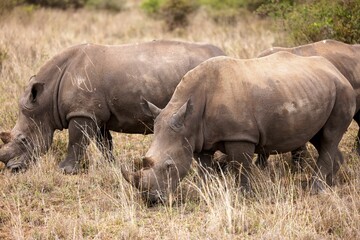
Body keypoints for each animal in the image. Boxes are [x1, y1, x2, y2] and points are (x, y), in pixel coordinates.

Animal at [0, 40, 225, 173]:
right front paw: (112, 166)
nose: (12, 168)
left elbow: (76, 141)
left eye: (23, 139)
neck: (47, 99)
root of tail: (222, 52)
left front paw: (64, 170)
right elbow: (104, 144)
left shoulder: (82, 113)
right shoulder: (95, 114)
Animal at [122, 52, 356, 204]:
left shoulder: (240, 136)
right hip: (317, 89)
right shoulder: (198, 138)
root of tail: (335, 70)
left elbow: (240, 167)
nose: (151, 199)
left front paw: (244, 197)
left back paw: (315, 189)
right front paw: (209, 192)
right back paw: (331, 183)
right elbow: (205, 168)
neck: (188, 114)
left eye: (169, 166)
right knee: (321, 138)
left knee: (329, 137)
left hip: (343, 91)